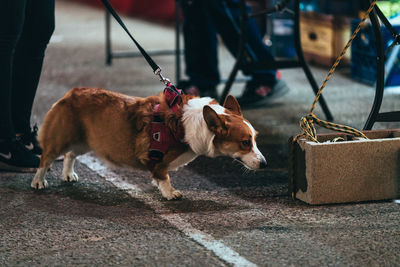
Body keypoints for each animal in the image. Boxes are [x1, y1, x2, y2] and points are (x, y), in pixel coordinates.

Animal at [31, 88, 266, 201]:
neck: (188, 125)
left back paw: (68, 175)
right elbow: (164, 176)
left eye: (255, 138)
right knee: (46, 158)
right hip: (61, 139)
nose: (264, 164)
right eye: (245, 142)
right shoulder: (158, 161)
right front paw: (170, 194)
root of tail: (71, 93)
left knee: (70, 154)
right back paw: (38, 182)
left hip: (85, 140)